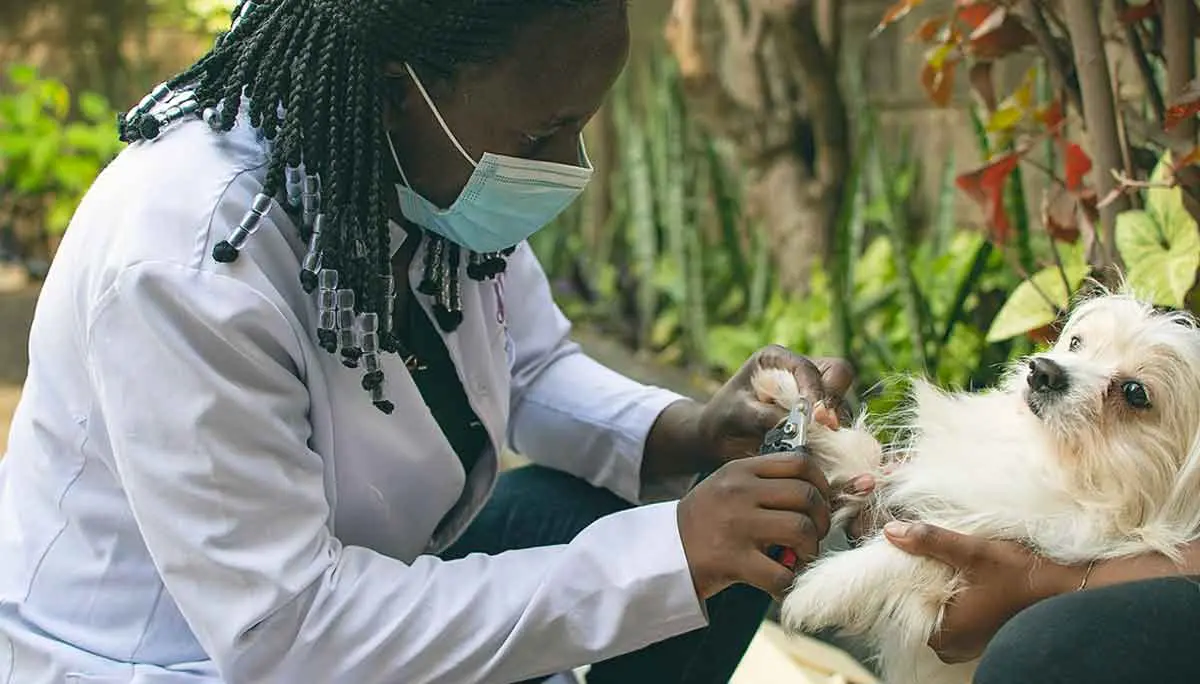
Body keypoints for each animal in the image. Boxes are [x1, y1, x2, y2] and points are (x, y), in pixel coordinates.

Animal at [753, 292, 1200, 681]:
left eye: (1135, 393)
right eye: (1076, 343)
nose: (1044, 370)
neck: (1048, 462)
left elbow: (915, 554)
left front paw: (825, 586)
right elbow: (866, 458)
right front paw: (790, 393)